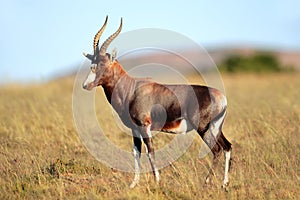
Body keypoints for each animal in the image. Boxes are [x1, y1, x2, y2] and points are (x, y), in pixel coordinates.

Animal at [81, 16, 232, 189]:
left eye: (102, 64)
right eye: (92, 63)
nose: (86, 85)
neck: (132, 88)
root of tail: (221, 97)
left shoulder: (144, 126)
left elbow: (150, 151)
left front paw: (157, 181)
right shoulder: (134, 129)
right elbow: (136, 152)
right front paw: (133, 184)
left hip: (203, 128)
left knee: (217, 150)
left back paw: (206, 183)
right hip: (215, 128)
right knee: (227, 147)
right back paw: (224, 184)